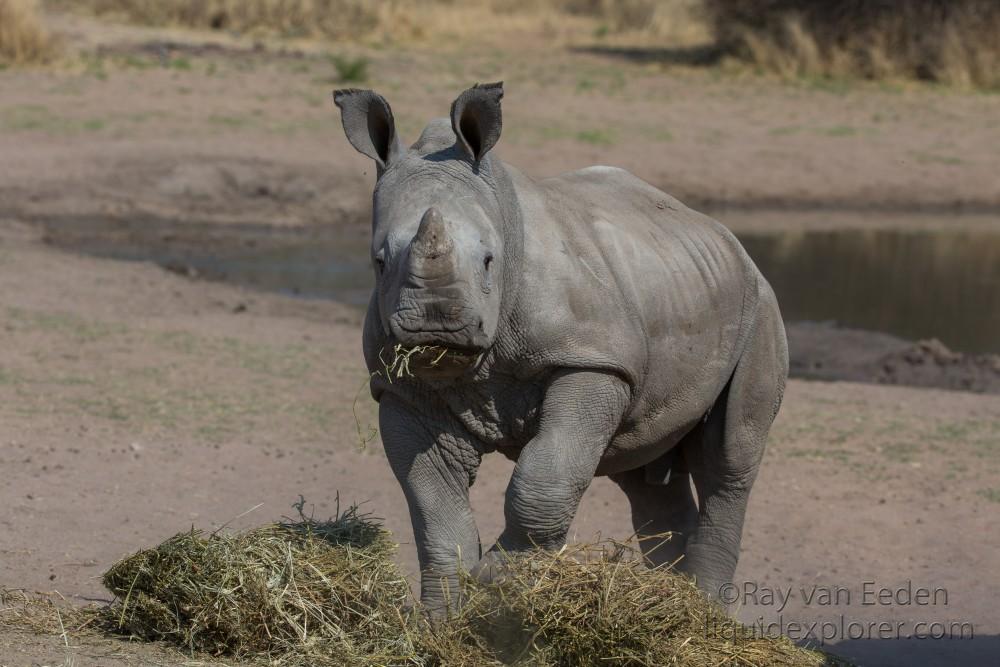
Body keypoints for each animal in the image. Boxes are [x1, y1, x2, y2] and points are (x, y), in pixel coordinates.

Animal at [336, 82, 788, 612]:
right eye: (379, 261)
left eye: (489, 261)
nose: (436, 326)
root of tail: (725, 236)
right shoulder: (401, 387)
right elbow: (433, 505)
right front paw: (442, 618)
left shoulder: (591, 360)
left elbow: (546, 477)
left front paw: (497, 580)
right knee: (643, 465)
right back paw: (673, 597)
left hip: (758, 305)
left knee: (728, 458)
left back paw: (705, 609)